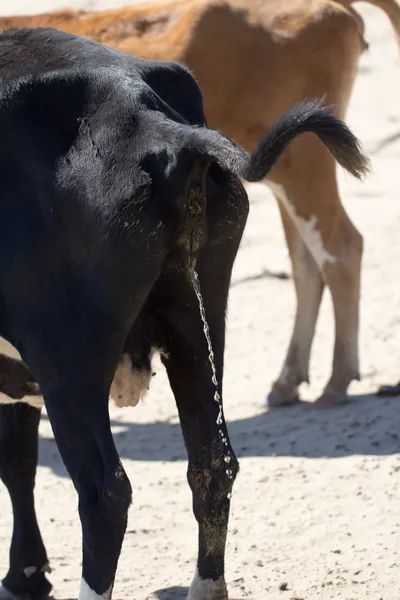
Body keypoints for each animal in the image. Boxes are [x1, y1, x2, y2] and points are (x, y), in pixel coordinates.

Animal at [0, 0, 396, 406]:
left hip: (304, 167)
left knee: (341, 248)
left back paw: (336, 381)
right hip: (287, 176)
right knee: (305, 261)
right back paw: (288, 381)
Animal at [0, 27, 368, 600]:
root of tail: (143, 114)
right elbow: (17, 460)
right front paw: (27, 574)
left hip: (67, 359)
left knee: (104, 492)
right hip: (199, 315)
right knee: (213, 463)